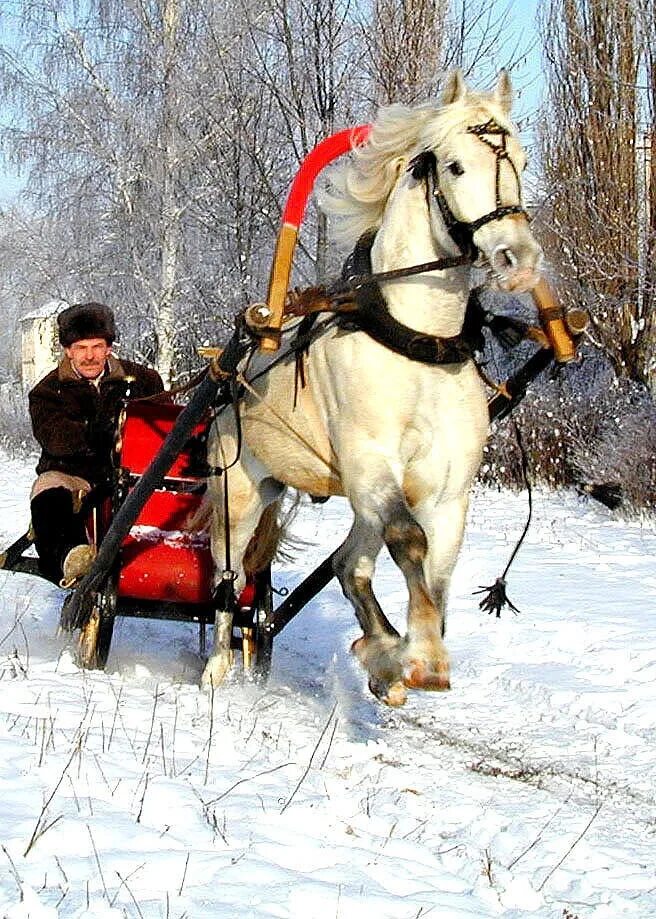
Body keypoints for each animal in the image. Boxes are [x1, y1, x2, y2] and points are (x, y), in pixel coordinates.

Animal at [204, 72, 544, 704]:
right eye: (455, 166)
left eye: (523, 159)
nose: (519, 259)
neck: (417, 342)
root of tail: (224, 371)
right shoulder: (369, 461)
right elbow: (408, 541)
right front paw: (423, 656)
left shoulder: (448, 488)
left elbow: (435, 568)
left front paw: (402, 652)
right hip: (237, 491)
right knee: (227, 576)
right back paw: (216, 664)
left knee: (348, 564)